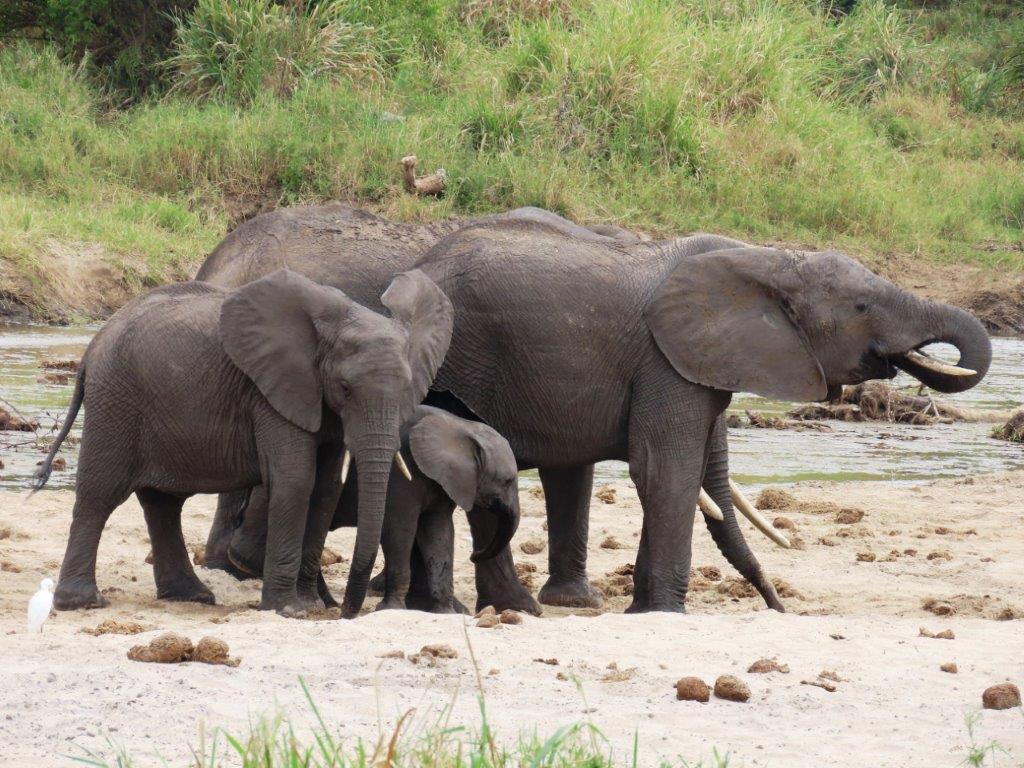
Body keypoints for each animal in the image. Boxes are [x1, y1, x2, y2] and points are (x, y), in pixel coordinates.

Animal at [33, 268, 454, 618]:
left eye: (408, 387)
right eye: (346, 387)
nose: (348, 612)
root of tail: (92, 346)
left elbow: (326, 488)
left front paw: (310, 605)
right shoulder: (269, 392)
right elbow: (296, 479)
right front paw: (289, 610)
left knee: (163, 503)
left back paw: (192, 596)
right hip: (116, 401)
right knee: (101, 495)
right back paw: (83, 603)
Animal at [224, 405, 521, 613]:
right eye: (507, 481)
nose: (474, 554)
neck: (461, 427)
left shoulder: (443, 483)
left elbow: (439, 534)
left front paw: (446, 613)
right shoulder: (403, 477)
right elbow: (399, 529)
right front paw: (392, 609)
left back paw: (328, 604)